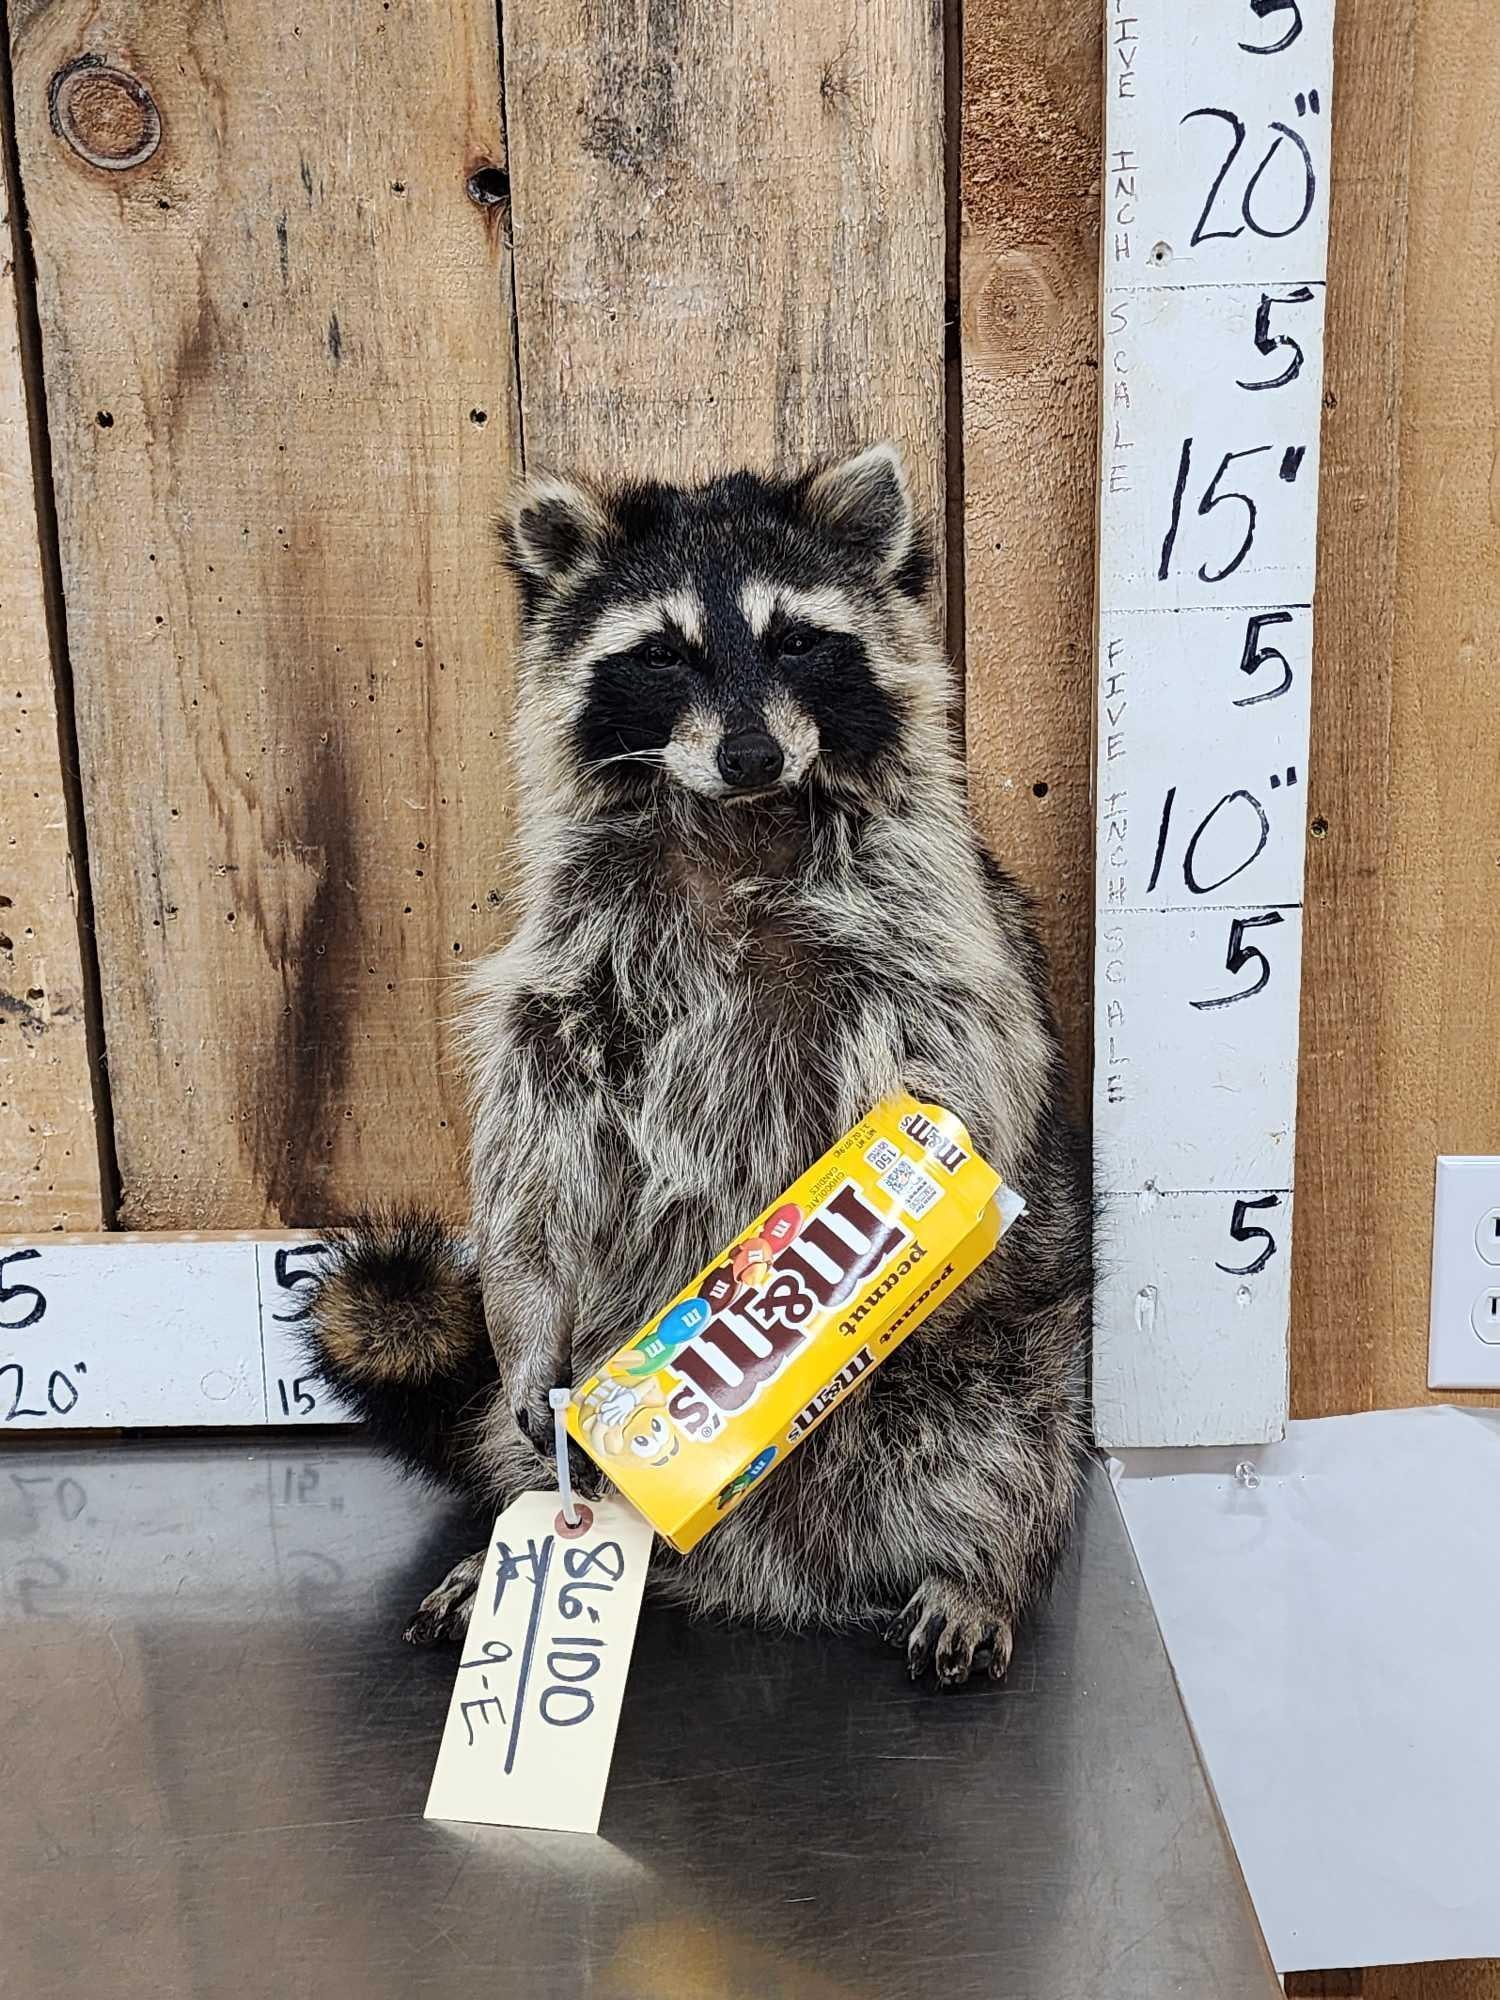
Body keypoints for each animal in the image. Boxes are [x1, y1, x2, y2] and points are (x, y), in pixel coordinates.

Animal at [302, 444, 1091, 1686]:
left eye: (796, 639)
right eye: (663, 651)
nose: (751, 750)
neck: (738, 820)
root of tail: (767, 1571)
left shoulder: (935, 913)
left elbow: (964, 1060)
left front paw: (898, 1203)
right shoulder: (570, 948)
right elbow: (534, 1136)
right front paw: (522, 1303)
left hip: (1015, 1362)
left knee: (1011, 1449)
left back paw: (982, 1567)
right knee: (536, 1454)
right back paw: (521, 1541)